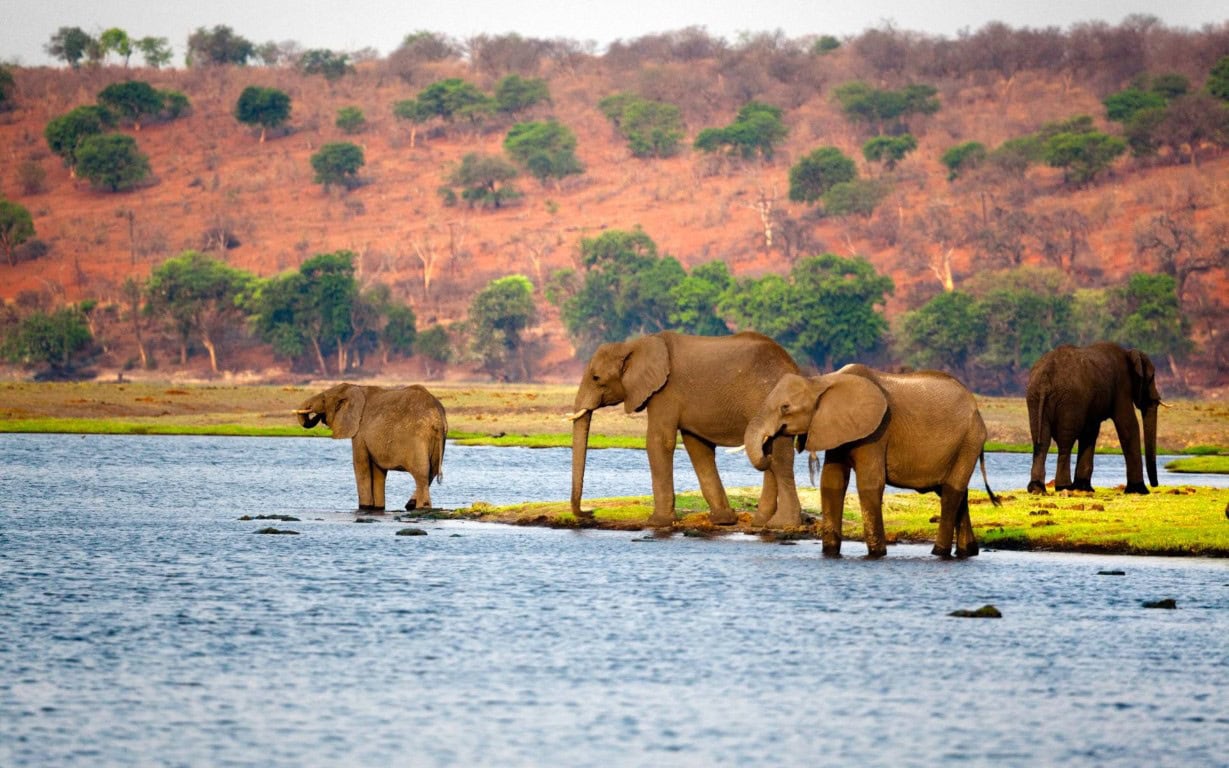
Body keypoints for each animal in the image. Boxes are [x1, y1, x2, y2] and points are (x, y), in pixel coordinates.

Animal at [294, 380, 449, 508]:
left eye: (324, 399)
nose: (318, 416)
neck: (354, 387)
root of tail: (438, 417)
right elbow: (378, 472)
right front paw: (377, 508)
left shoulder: (360, 431)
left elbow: (360, 465)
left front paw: (364, 507)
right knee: (432, 471)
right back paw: (411, 505)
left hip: (418, 439)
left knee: (422, 473)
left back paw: (421, 506)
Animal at [567, 331, 806, 530]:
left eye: (596, 378)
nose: (589, 513)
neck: (633, 345)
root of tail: (794, 366)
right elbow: (697, 448)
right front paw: (722, 520)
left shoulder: (664, 392)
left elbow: (659, 441)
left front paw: (657, 523)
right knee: (770, 453)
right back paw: (761, 522)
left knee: (780, 458)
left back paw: (782, 524)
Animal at [737, 366, 997, 557]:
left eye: (785, 407)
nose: (768, 448)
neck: (821, 381)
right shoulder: (836, 429)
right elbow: (831, 483)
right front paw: (830, 552)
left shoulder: (877, 431)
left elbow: (870, 483)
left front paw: (877, 553)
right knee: (955, 492)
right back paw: (968, 551)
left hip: (970, 439)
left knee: (952, 493)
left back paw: (939, 552)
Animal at [1027, 339, 1160, 493]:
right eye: (1152, 378)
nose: (1155, 484)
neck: (1128, 353)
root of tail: (1045, 377)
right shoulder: (1122, 386)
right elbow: (1128, 425)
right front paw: (1140, 490)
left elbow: (1090, 433)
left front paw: (1083, 488)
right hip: (1070, 399)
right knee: (1065, 441)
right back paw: (1063, 487)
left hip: (1035, 396)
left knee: (1041, 441)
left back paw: (1036, 488)